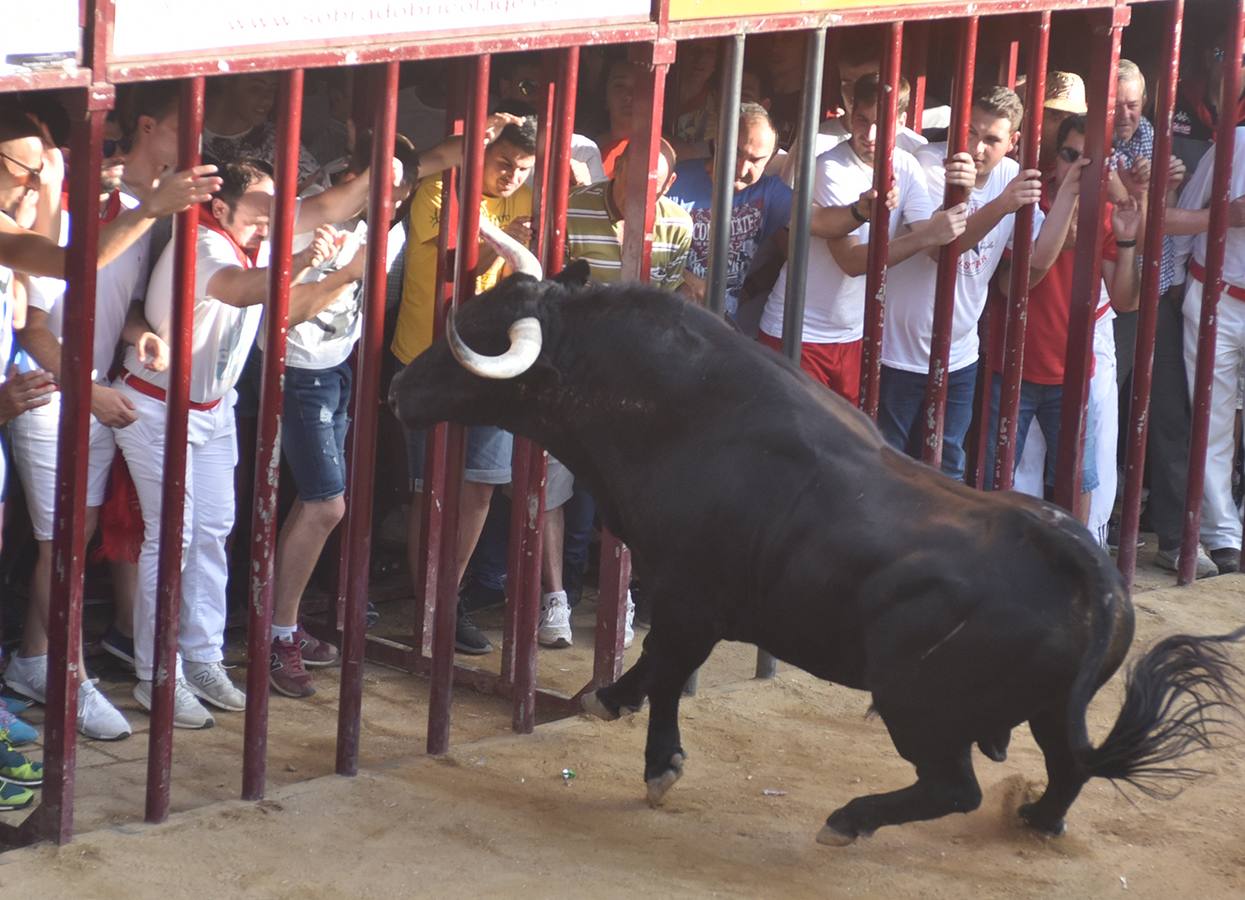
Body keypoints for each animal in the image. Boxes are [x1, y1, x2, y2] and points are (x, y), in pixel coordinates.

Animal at [388, 267, 1245, 846]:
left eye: (478, 334)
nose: (400, 392)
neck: (675, 413)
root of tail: (1090, 569)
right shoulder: (688, 602)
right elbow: (656, 671)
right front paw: (616, 711)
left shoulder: (690, 598)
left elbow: (665, 672)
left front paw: (652, 757)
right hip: (1041, 711)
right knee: (1067, 768)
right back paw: (1033, 817)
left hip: (914, 703)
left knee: (955, 787)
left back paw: (848, 819)